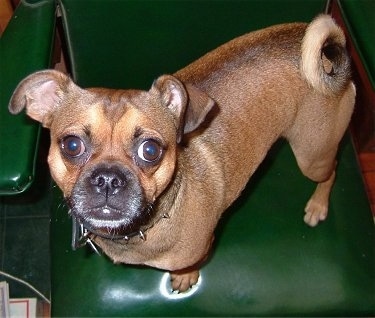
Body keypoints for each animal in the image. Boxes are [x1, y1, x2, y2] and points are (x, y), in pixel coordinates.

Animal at [8, 15, 356, 294]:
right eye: (71, 145)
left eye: (150, 150)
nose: (108, 179)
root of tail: (328, 61)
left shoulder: (203, 247)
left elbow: (187, 265)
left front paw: (185, 277)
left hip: (313, 156)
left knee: (333, 169)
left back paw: (318, 206)